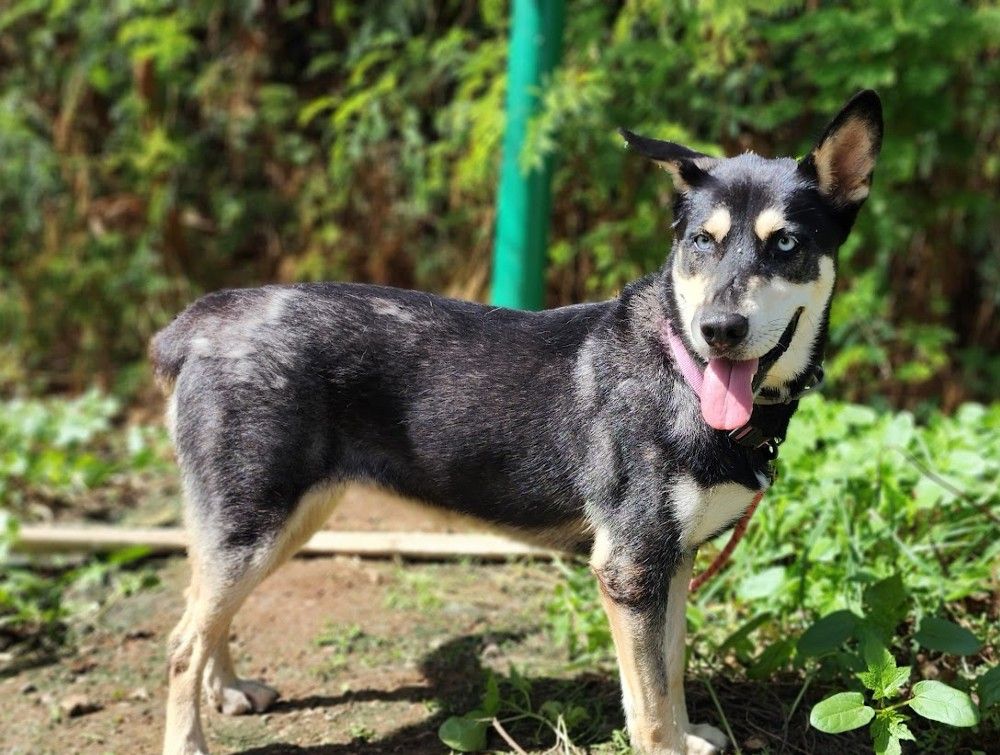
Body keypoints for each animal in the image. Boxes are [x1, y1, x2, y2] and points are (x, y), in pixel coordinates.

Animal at [152, 90, 882, 755]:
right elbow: (648, 703)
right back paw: (190, 738)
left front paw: (689, 733)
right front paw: (668, 743)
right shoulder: (630, 567)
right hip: (257, 524)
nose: (719, 330)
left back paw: (228, 688)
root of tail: (201, 321)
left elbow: (671, 672)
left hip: (279, 522)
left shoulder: (670, 562)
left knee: (203, 612)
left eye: (784, 244)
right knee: (182, 639)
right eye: (702, 241)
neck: (681, 367)